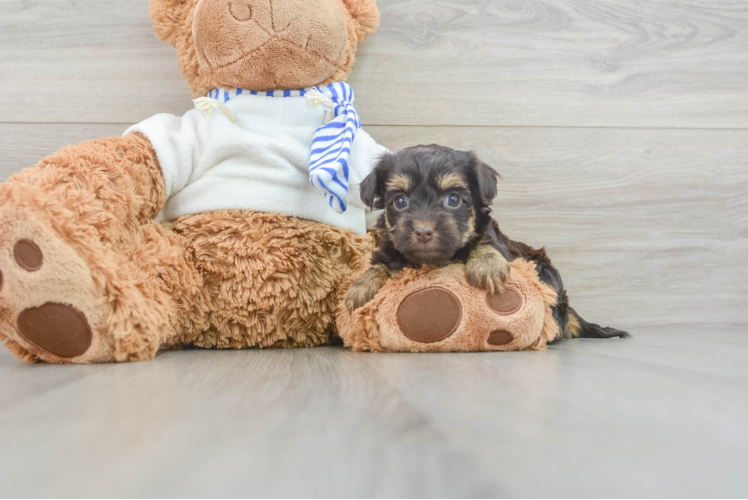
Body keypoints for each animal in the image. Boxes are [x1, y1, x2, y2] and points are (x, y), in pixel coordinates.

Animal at [348, 143, 628, 342]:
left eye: (453, 199)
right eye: (400, 201)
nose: (424, 231)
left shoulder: (493, 239)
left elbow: (485, 243)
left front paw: (487, 266)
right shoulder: (390, 248)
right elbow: (379, 263)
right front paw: (360, 287)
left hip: (546, 273)